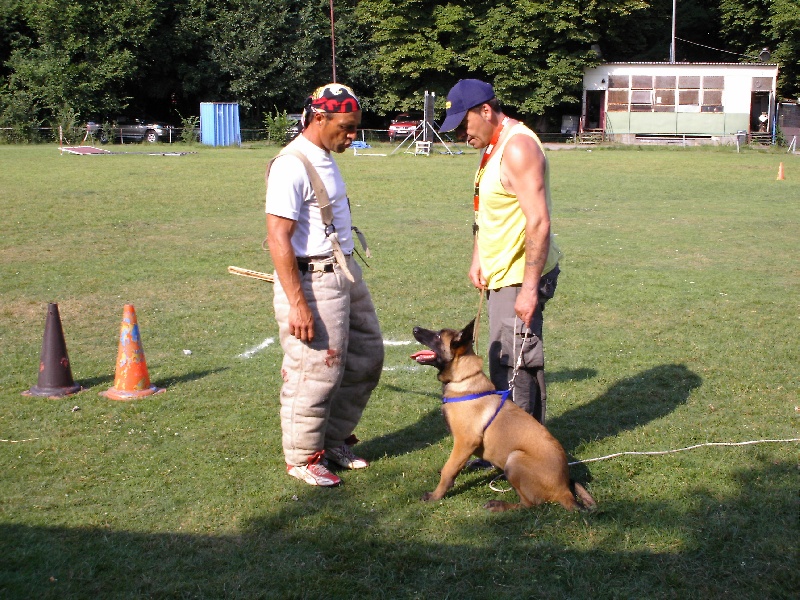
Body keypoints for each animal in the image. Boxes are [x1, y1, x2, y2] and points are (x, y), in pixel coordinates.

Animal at [412, 322, 592, 512]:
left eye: (438, 336)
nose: (415, 328)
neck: (463, 380)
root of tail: (564, 490)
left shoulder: (465, 441)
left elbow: (449, 470)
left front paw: (435, 496)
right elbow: (453, 466)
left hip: (514, 459)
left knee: (529, 504)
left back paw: (499, 505)